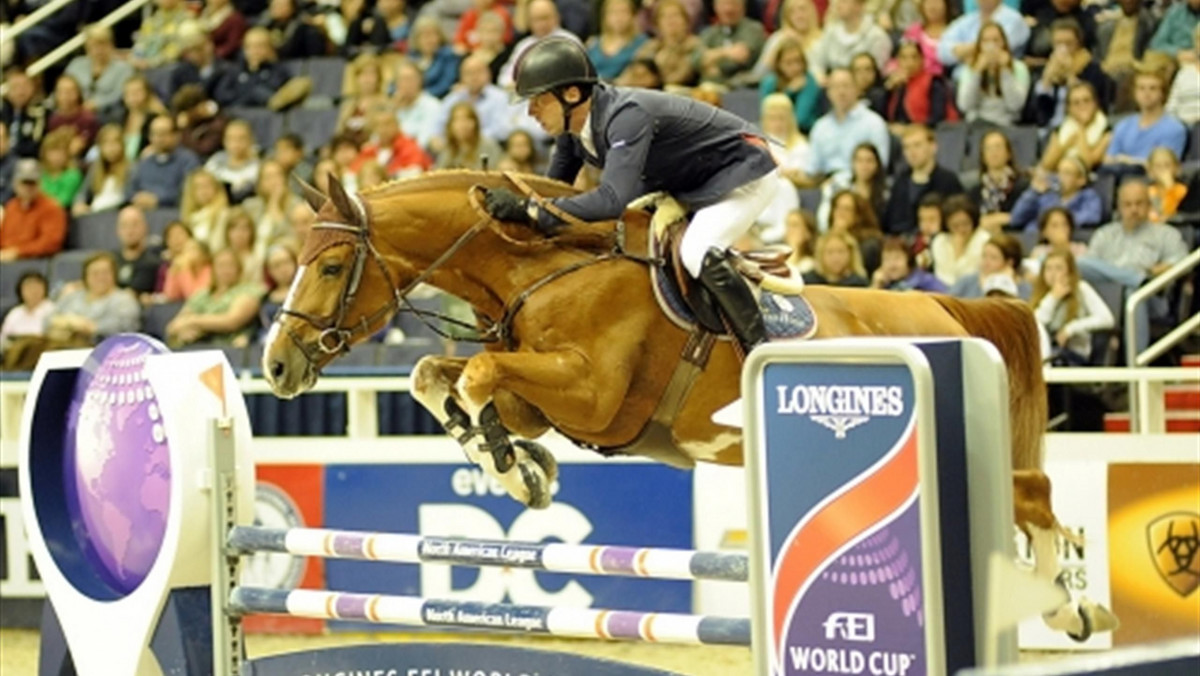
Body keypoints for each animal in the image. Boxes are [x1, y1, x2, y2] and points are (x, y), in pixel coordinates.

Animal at [260, 171, 1113, 643]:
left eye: (330, 264)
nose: (274, 365)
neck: (543, 265)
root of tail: (948, 309)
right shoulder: (550, 399)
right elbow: (437, 377)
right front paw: (520, 465)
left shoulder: (590, 393)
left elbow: (471, 378)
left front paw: (511, 469)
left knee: (1035, 494)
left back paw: (1069, 606)